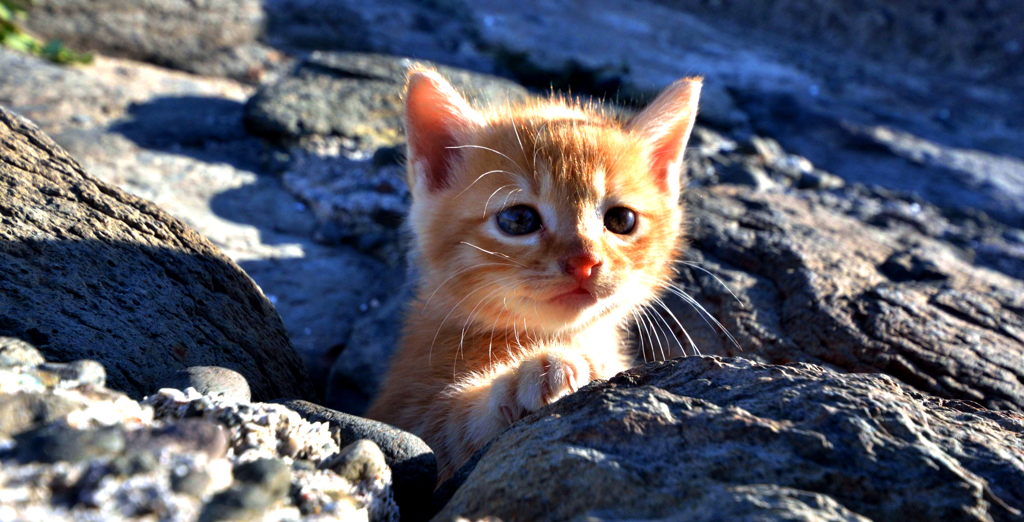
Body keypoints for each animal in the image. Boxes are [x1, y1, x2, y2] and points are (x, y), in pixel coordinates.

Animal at [368, 68, 704, 481]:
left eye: (621, 221)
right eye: (518, 220)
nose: (584, 261)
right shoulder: (403, 408)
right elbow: (449, 433)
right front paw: (531, 377)